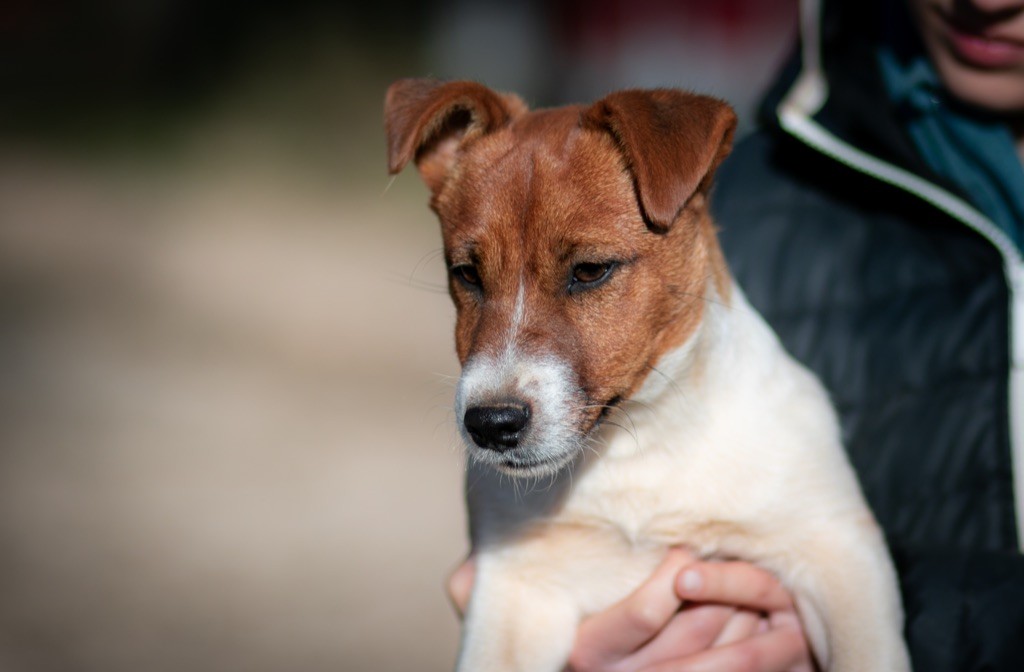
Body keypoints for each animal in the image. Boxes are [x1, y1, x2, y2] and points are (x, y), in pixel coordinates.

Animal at [385, 79, 913, 672]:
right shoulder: (518, 587)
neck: (639, 443)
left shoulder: (838, 551)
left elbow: (867, 654)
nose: (490, 424)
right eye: (467, 274)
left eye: (590, 270)